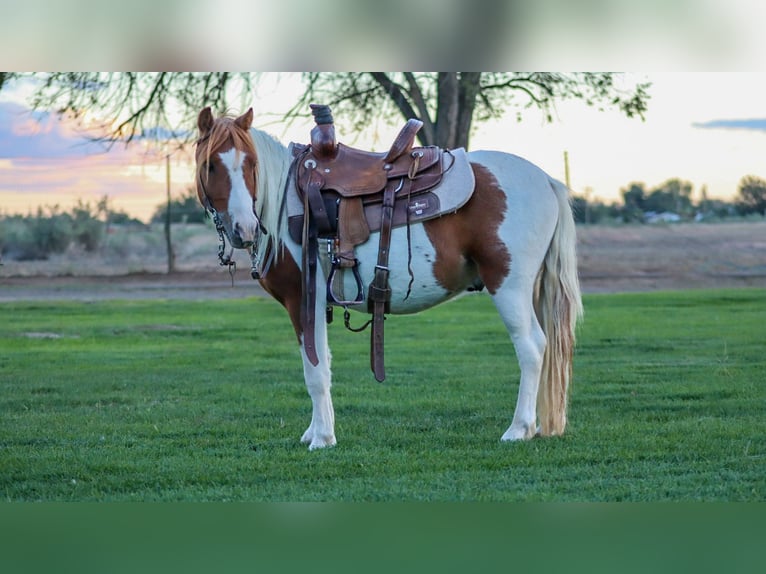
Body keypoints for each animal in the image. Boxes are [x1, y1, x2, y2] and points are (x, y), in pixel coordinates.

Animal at [194, 106, 583, 450]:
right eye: (211, 165)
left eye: (250, 164)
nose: (244, 228)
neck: (284, 201)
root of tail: (546, 180)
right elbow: (323, 364)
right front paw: (316, 431)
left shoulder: (304, 299)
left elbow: (315, 371)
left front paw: (322, 438)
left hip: (509, 287)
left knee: (532, 347)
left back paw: (519, 429)